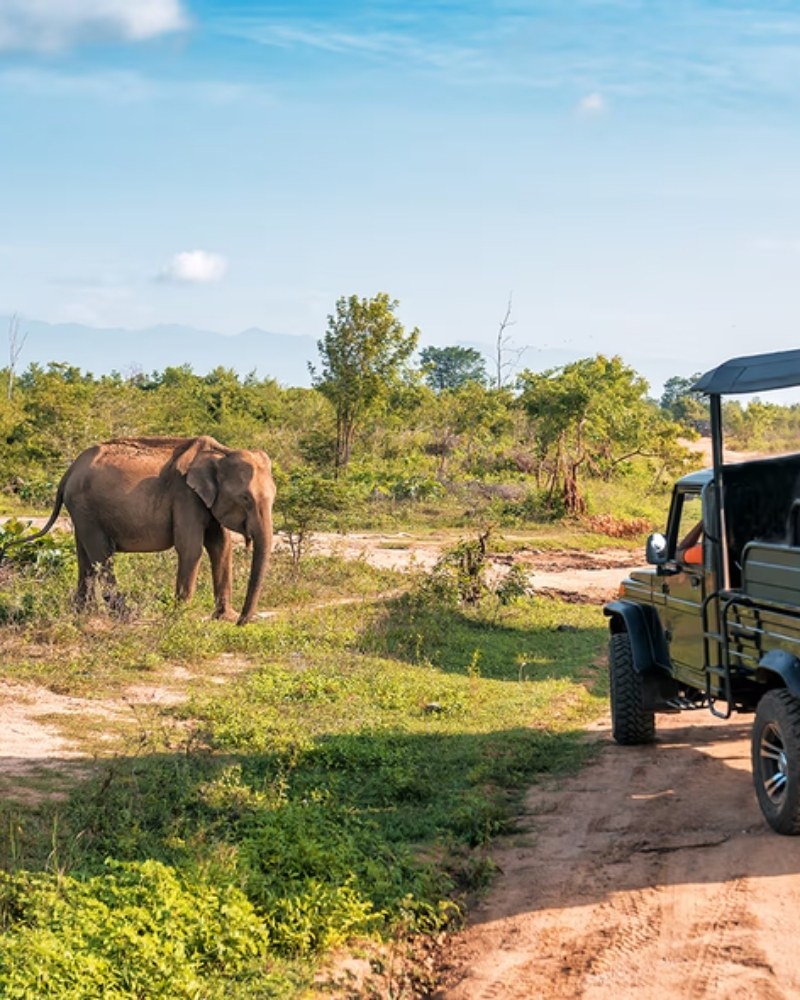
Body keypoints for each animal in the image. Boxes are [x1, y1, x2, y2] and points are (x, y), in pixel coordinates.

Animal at [20, 436, 275, 625]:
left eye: (274, 497)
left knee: (85, 556)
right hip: (85, 508)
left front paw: (224, 618)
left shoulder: (206, 501)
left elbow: (221, 547)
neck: (221, 453)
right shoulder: (185, 496)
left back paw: (83, 614)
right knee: (102, 555)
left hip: (81, 511)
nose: (242, 622)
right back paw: (125, 615)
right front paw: (180, 617)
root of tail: (69, 471)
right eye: (245, 499)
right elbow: (191, 549)